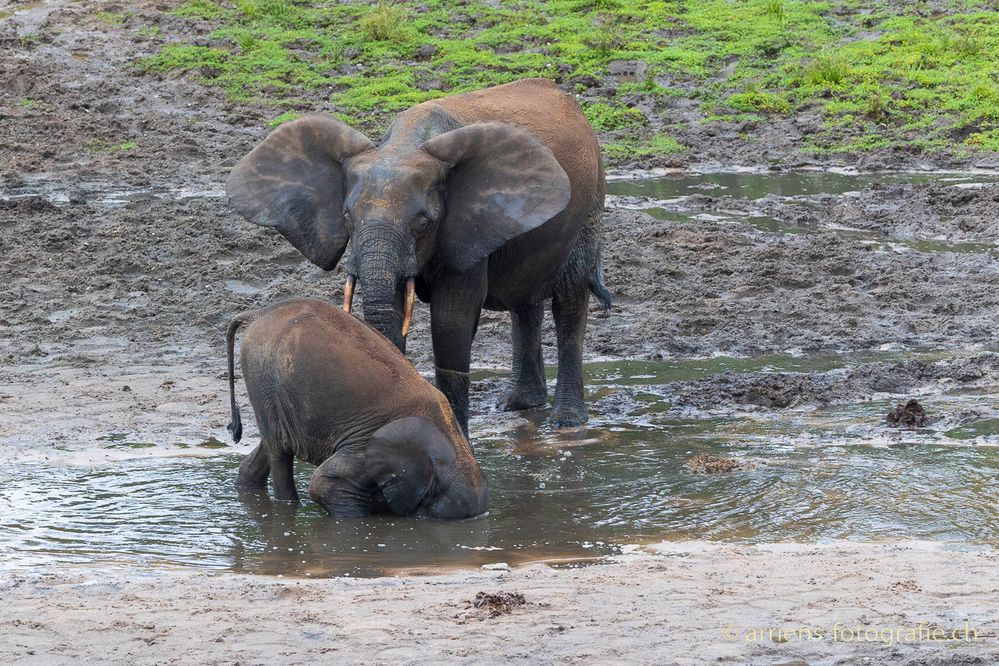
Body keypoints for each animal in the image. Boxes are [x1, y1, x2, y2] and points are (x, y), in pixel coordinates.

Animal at [227, 79, 608, 430]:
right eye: (347, 217)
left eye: (424, 222)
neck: (402, 146)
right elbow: (395, 310)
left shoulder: (464, 228)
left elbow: (451, 320)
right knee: (525, 299)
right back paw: (519, 405)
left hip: (591, 201)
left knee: (569, 300)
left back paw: (565, 422)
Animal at [228, 296, 492, 520]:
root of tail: (259, 312)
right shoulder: (363, 447)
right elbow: (324, 485)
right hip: (262, 374)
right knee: (279, 450)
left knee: (273, 441)